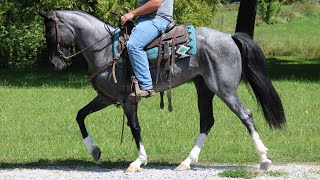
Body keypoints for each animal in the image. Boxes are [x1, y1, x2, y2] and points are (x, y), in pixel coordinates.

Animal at [38, 9, 286, 172]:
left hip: (224, 89)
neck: (107, 49)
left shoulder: (128, 100)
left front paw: (138, 161)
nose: (54, 64)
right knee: (207, 121)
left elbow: (135, 128)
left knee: (245, 115)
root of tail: (229, 37)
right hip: (204, 87)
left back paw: (264, 159)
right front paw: (95, 151)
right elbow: (80, 115)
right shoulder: (106, 97)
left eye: (50, 34)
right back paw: (187, 162)